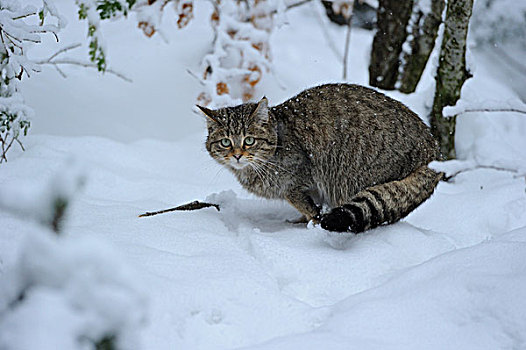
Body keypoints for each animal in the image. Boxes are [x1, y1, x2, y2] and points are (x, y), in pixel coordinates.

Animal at [200, 83, 444, 232]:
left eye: (249, 140)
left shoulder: (297, 182)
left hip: (354, 177)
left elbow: (306, 206)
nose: (237, 155)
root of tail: (432, 147)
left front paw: (311, 222)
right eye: (225, 142)